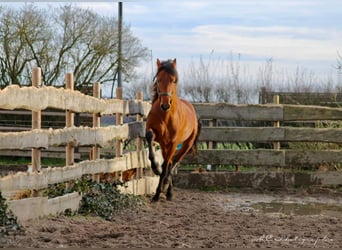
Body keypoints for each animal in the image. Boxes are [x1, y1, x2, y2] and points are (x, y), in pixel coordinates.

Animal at [145, 58, 200, 201]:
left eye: (174, 80)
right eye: (158, 80)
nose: (165, 105)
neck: (166, 116)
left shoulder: (174, 143)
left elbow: (166, 167)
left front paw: (157, 194)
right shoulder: (157, 136)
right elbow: (149, 137)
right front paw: (155, 167)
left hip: (186, 144)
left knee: (175, 161)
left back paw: (166, 185)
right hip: (165, 145)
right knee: (169, 162)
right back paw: (168, 191)